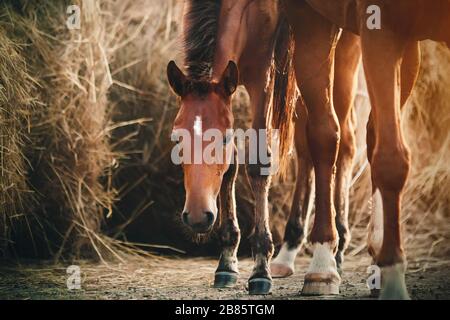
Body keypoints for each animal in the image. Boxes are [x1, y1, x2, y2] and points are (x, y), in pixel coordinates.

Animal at [167, 0, 298, 296]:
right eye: (177, 139)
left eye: (224, 138)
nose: (197, 216)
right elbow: (230, 169)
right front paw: (226, 261)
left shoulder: (263, 77)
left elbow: (258, 164)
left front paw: (261, 269)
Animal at [284, 0, 448, 300]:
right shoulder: (381, 28)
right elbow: (390, 159)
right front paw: (394, 278)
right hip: (311, 18)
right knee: (326, 137)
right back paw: (323, 265)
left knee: (370, 134)